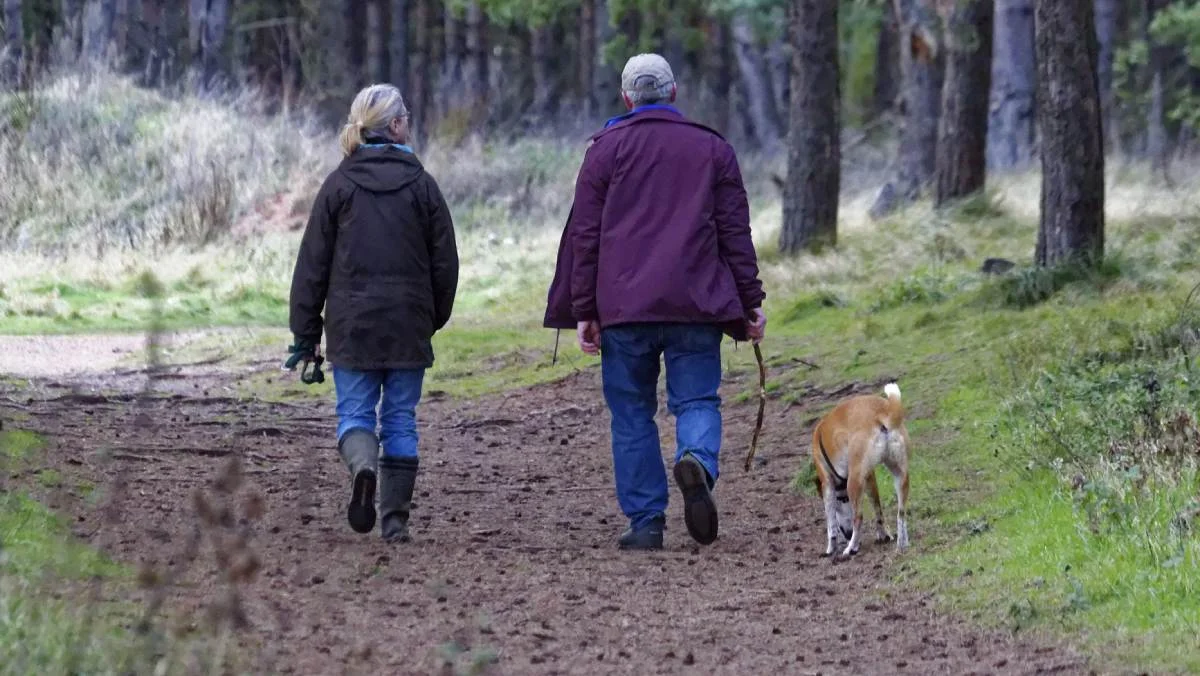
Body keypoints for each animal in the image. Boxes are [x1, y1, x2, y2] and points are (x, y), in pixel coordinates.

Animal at [816, 384, 907, 557]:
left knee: (858, 518)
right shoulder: (870, 477)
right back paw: (902, 544)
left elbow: (831, 524)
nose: (847, 534)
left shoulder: (827, 484)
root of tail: (882, 412)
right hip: (900, 475)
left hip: (854, 482)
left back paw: (850, 548)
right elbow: (878, 510)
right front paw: (884, 535)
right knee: (901, 512)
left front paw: (831, 548)